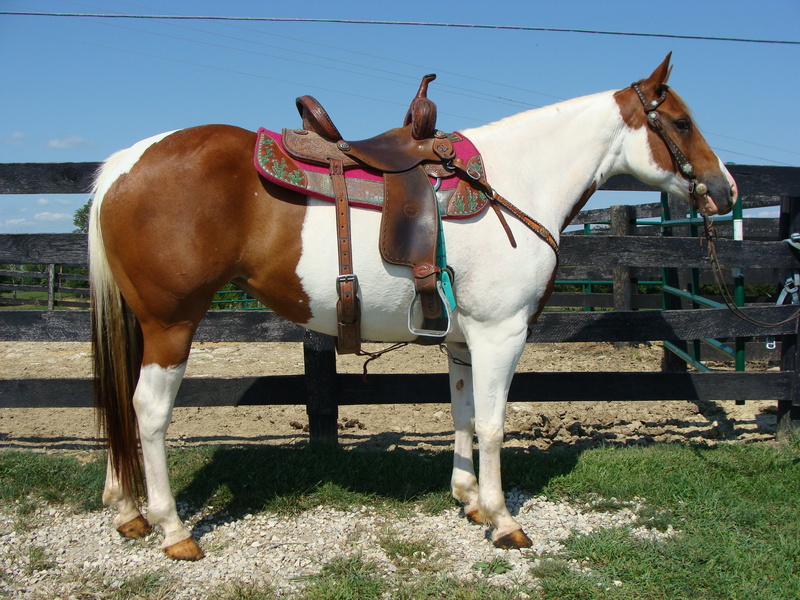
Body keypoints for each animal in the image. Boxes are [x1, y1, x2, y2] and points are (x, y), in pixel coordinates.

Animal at [89, 53, 737, 560]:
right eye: (682, 122)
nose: (725, 190)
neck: (518, 181)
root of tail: (126, 162)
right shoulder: (501, 334)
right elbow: (494, 426)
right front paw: (504, 520)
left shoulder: (464, 340)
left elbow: (463, 414)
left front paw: (469, 502)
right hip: (171, 323)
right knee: (148, 409)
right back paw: (173, 528)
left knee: (122, 399)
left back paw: (127, 511)